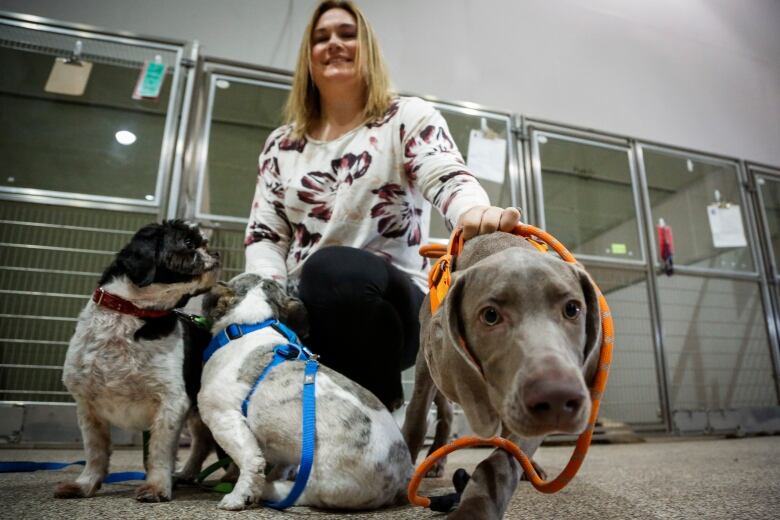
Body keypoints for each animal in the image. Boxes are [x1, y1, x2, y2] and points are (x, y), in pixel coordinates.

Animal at [54, 220, 219, 504]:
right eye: (189, 243)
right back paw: (187, 474)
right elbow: (95, 451)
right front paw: (85, 485)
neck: (132, 313)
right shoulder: (87, 405)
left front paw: (156, 487)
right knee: (202, 442)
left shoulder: (171, 401)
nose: (216, 254)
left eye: (205, 243)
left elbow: (159, 451)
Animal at [198, 274, 414, 510]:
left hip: (324, 483)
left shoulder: (224, 419)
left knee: (300, 493)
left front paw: (238, 496)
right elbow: (279, 463)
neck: (252, 325)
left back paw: (269, 489)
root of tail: (401, 476)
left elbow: (251, 460)